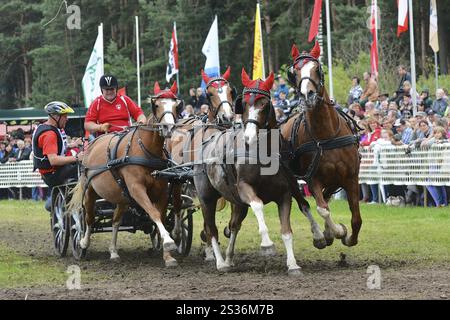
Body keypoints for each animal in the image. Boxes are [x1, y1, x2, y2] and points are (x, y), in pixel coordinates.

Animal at [68, 81, 183, 266]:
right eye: (156, 105)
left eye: (175, 105)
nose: (168, 127)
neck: (146, 150)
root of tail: (90, 146)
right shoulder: (137, 189)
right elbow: (153, 213)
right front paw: (168, 241)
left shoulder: (162, 191)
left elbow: (161, 216)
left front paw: (168, 256)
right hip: (90, 191)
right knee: (88, 218)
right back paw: (83, 243)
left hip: (121, 196)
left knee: (115, 221)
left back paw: (114, 251)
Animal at [282, 42, 362, 248]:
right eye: (294, 72)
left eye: (317, 68)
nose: (307, 95)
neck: (326, 135)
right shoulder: (312, 179)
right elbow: (322, 209)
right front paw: (337, 231)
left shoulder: (350, 177)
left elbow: (356, 217)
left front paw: (348, 237)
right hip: (292, 179)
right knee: (305, 204)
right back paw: (320, 235)